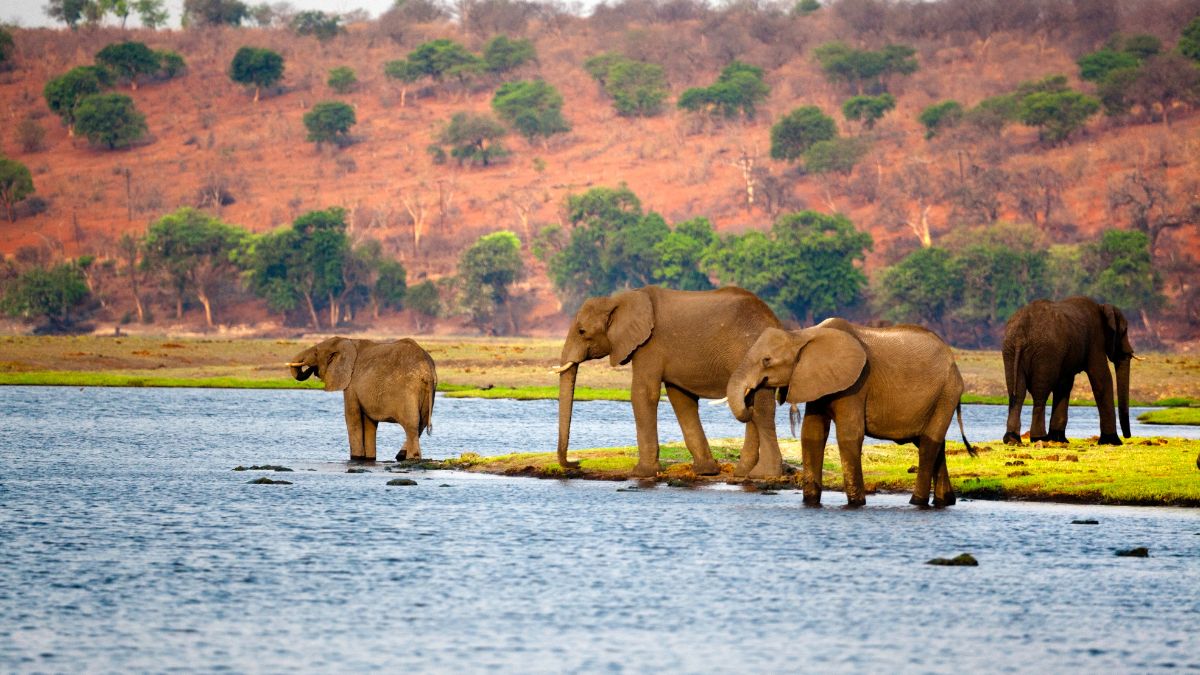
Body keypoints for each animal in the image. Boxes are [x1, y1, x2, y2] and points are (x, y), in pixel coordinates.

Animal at [288, 333, 439, 458]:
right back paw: (401, 456)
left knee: (412, 424)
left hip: (408, 390)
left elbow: (352, 416)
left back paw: (410, 457)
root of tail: (427, 370)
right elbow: (369, 423)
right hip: (428, 392)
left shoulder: (351, 384)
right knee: (422, 423)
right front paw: (369, 458)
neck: (347, 341)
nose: (311, 369)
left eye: (316, 352)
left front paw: (356, 458)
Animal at [554, 283, 787, 478]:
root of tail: (775, 319)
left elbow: (643, 394)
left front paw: (642, 473)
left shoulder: (649, 345)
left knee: (762, 409)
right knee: (753, 405)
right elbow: (681, 400)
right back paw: (743, 473)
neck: (618, 300)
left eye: (582, 331)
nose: (576, 463)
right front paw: (705, 471)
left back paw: (762, 475)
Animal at [724, 319, 969, 504]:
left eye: (767, 360)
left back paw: (917, 501)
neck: (802, 335)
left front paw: (857, 502)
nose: (750, 398)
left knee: (928, 444)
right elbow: (811, 434)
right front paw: (810, 501)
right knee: (934, 444)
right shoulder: (816, 381)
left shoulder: (856, 383)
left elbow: (849, 434)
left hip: (947, 392)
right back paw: (946, 501)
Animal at [1003, 295, 1132, 444]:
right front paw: (1113, 442)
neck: (1102, 308)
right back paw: (1039, 438)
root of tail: (1020, 333)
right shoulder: (1095, 340)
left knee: (1017, 393)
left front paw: (1059, 439)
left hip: (1010, 349)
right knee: (1040, 393)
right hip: (1045, 352)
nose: (1127, 436)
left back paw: (1012, 439)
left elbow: (1064, 385)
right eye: (1125, 331)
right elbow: (1102, 378)